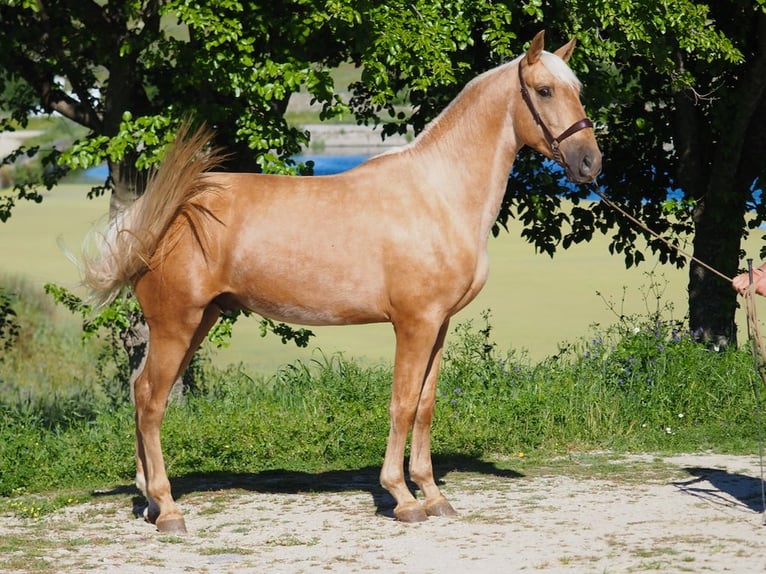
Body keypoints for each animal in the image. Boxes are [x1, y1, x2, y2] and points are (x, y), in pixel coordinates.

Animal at [82, 30, 600, 536]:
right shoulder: (414, 323)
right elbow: (402, 404)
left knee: (141, 391)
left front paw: (434, 496)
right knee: (151, 401)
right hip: (176, 323)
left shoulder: (439, 325)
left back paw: (150, 502)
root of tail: (165, 215)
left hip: (198, 321)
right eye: (544, 90)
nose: (590, 163)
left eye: (578, 89)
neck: (438, 194)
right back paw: (168, 509)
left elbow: (425, 406)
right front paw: (403, 498)